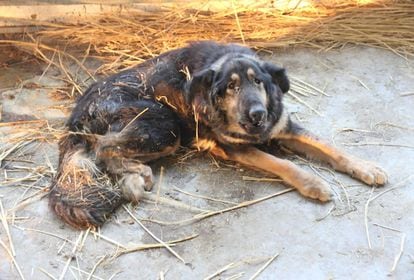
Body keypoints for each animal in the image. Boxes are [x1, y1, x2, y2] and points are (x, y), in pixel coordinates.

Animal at [49, 40, 388, 229]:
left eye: (259, 81)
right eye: (232, 87)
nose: (257, 115)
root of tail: (78, 109)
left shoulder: (283, 126)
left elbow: (331, 148)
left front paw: (366, 167)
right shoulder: (235, 147)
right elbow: (284, 164)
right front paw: (313, 183)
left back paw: (133, 179)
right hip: (164, 125)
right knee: (104, 148)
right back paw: (135, 177)